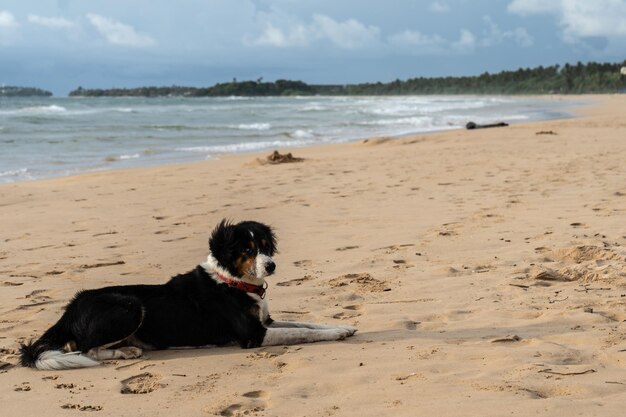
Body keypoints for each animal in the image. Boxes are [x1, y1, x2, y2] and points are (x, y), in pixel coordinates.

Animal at [18, 219, 356, 368]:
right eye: (247, 250)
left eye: (264, 246)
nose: (271, 266)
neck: (233, 281)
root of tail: (70, 308)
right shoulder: (253, 334)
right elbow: (303, 332)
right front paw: (336, 334)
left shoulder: (266, 322)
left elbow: (309, 323)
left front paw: (342, 327)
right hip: (129, 306)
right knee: (85, 349)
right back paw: (125, 352)